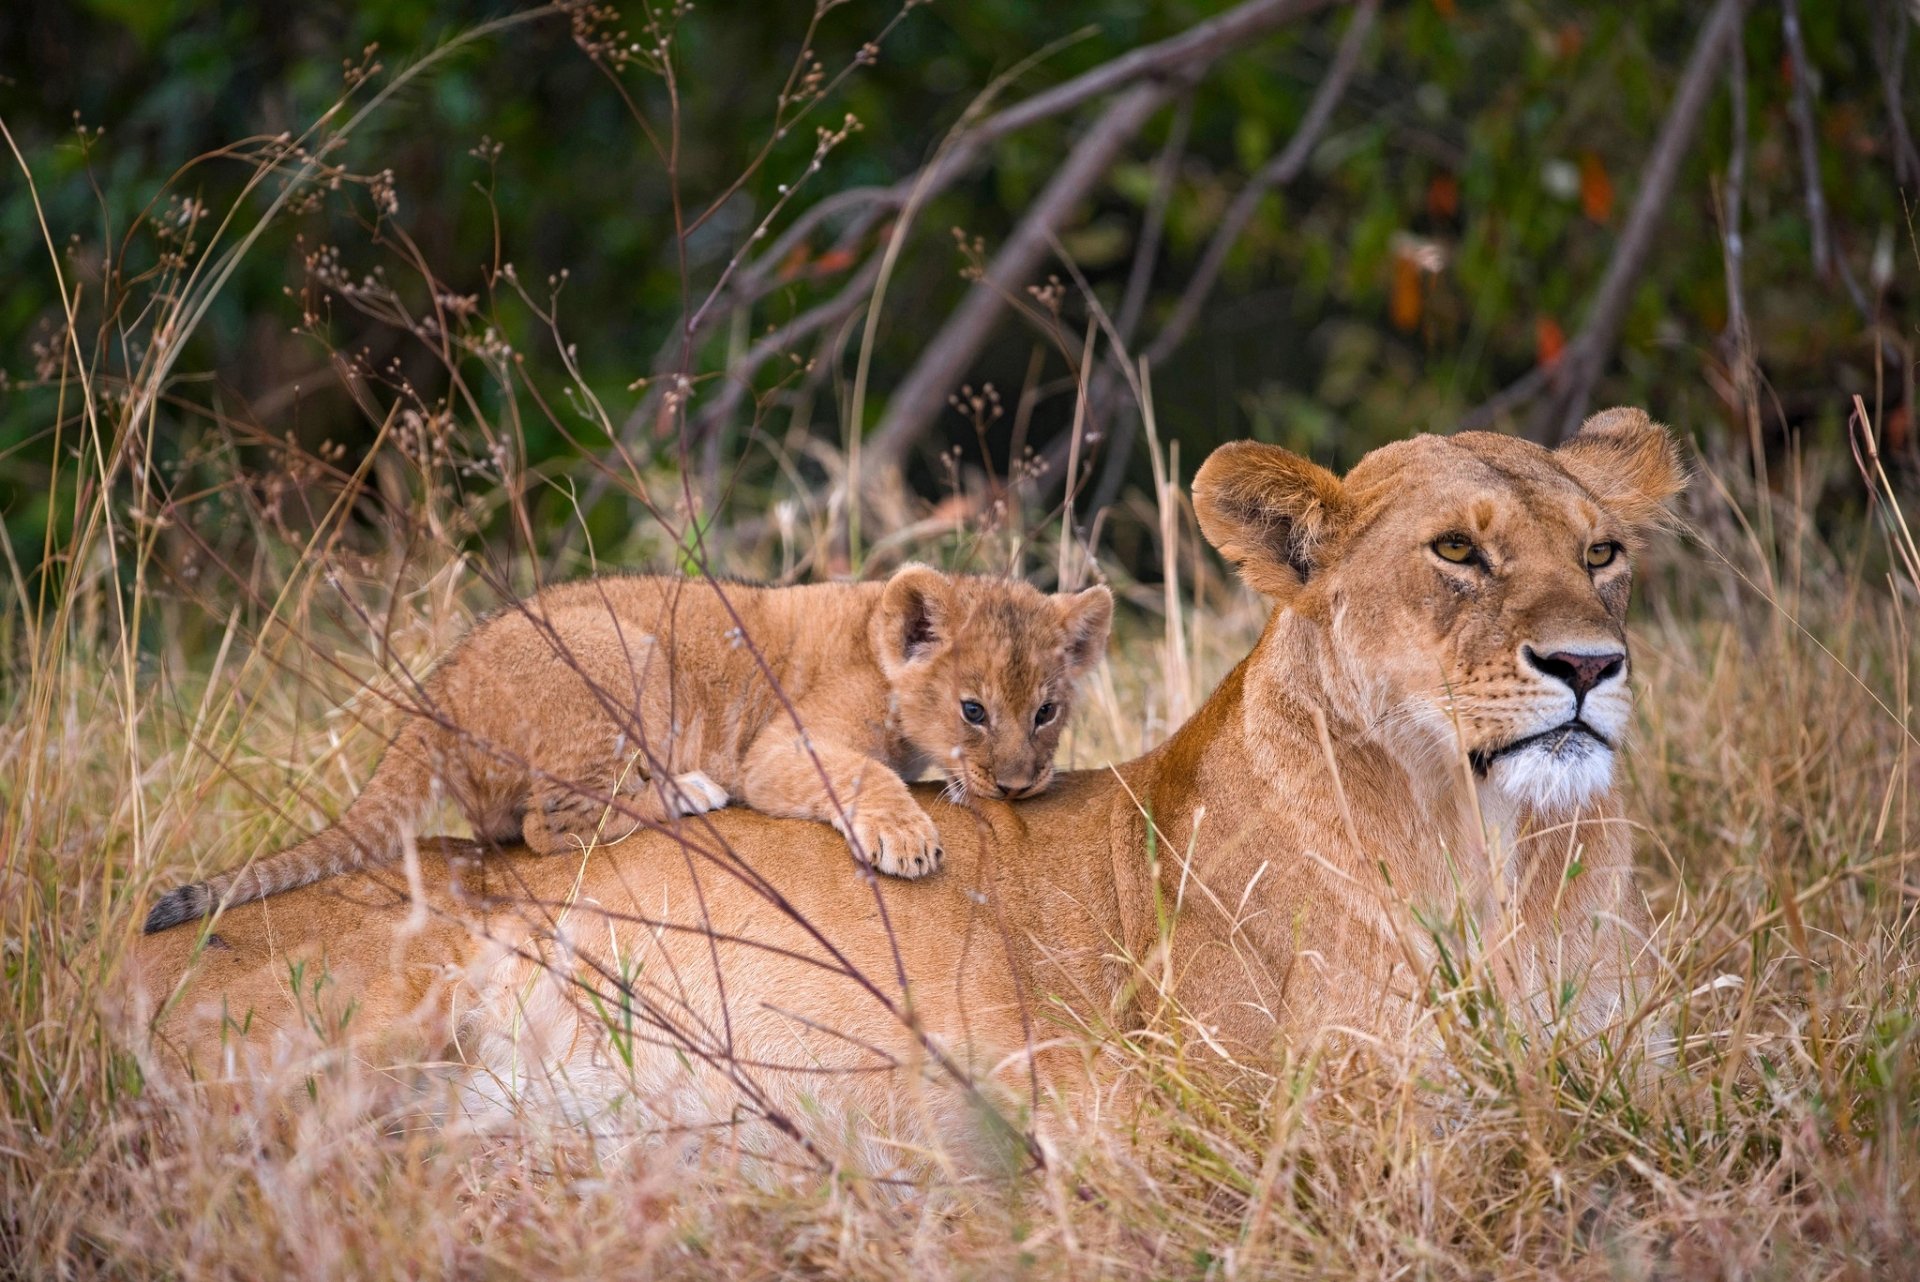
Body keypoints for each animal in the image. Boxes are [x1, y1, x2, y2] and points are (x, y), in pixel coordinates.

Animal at [142, 565, 1115, 931]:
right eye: (974, 709)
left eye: (1046, 712)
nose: (1019, 787)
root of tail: (438, 685)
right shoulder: (781, 749)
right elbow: (865, 771)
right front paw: (907, 833)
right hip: (624, 653)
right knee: (552, 827)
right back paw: (686, 792)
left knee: (511, 829)